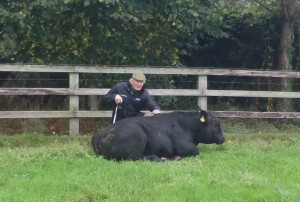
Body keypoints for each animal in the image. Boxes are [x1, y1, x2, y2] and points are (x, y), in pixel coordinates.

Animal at [91, 109, 225, 162]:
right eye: (216, 125)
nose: (223, 139)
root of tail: (100, 133)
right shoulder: (185, 147)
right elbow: (196, 151)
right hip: (136, 138)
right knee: (135, 158)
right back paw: (160, 158)